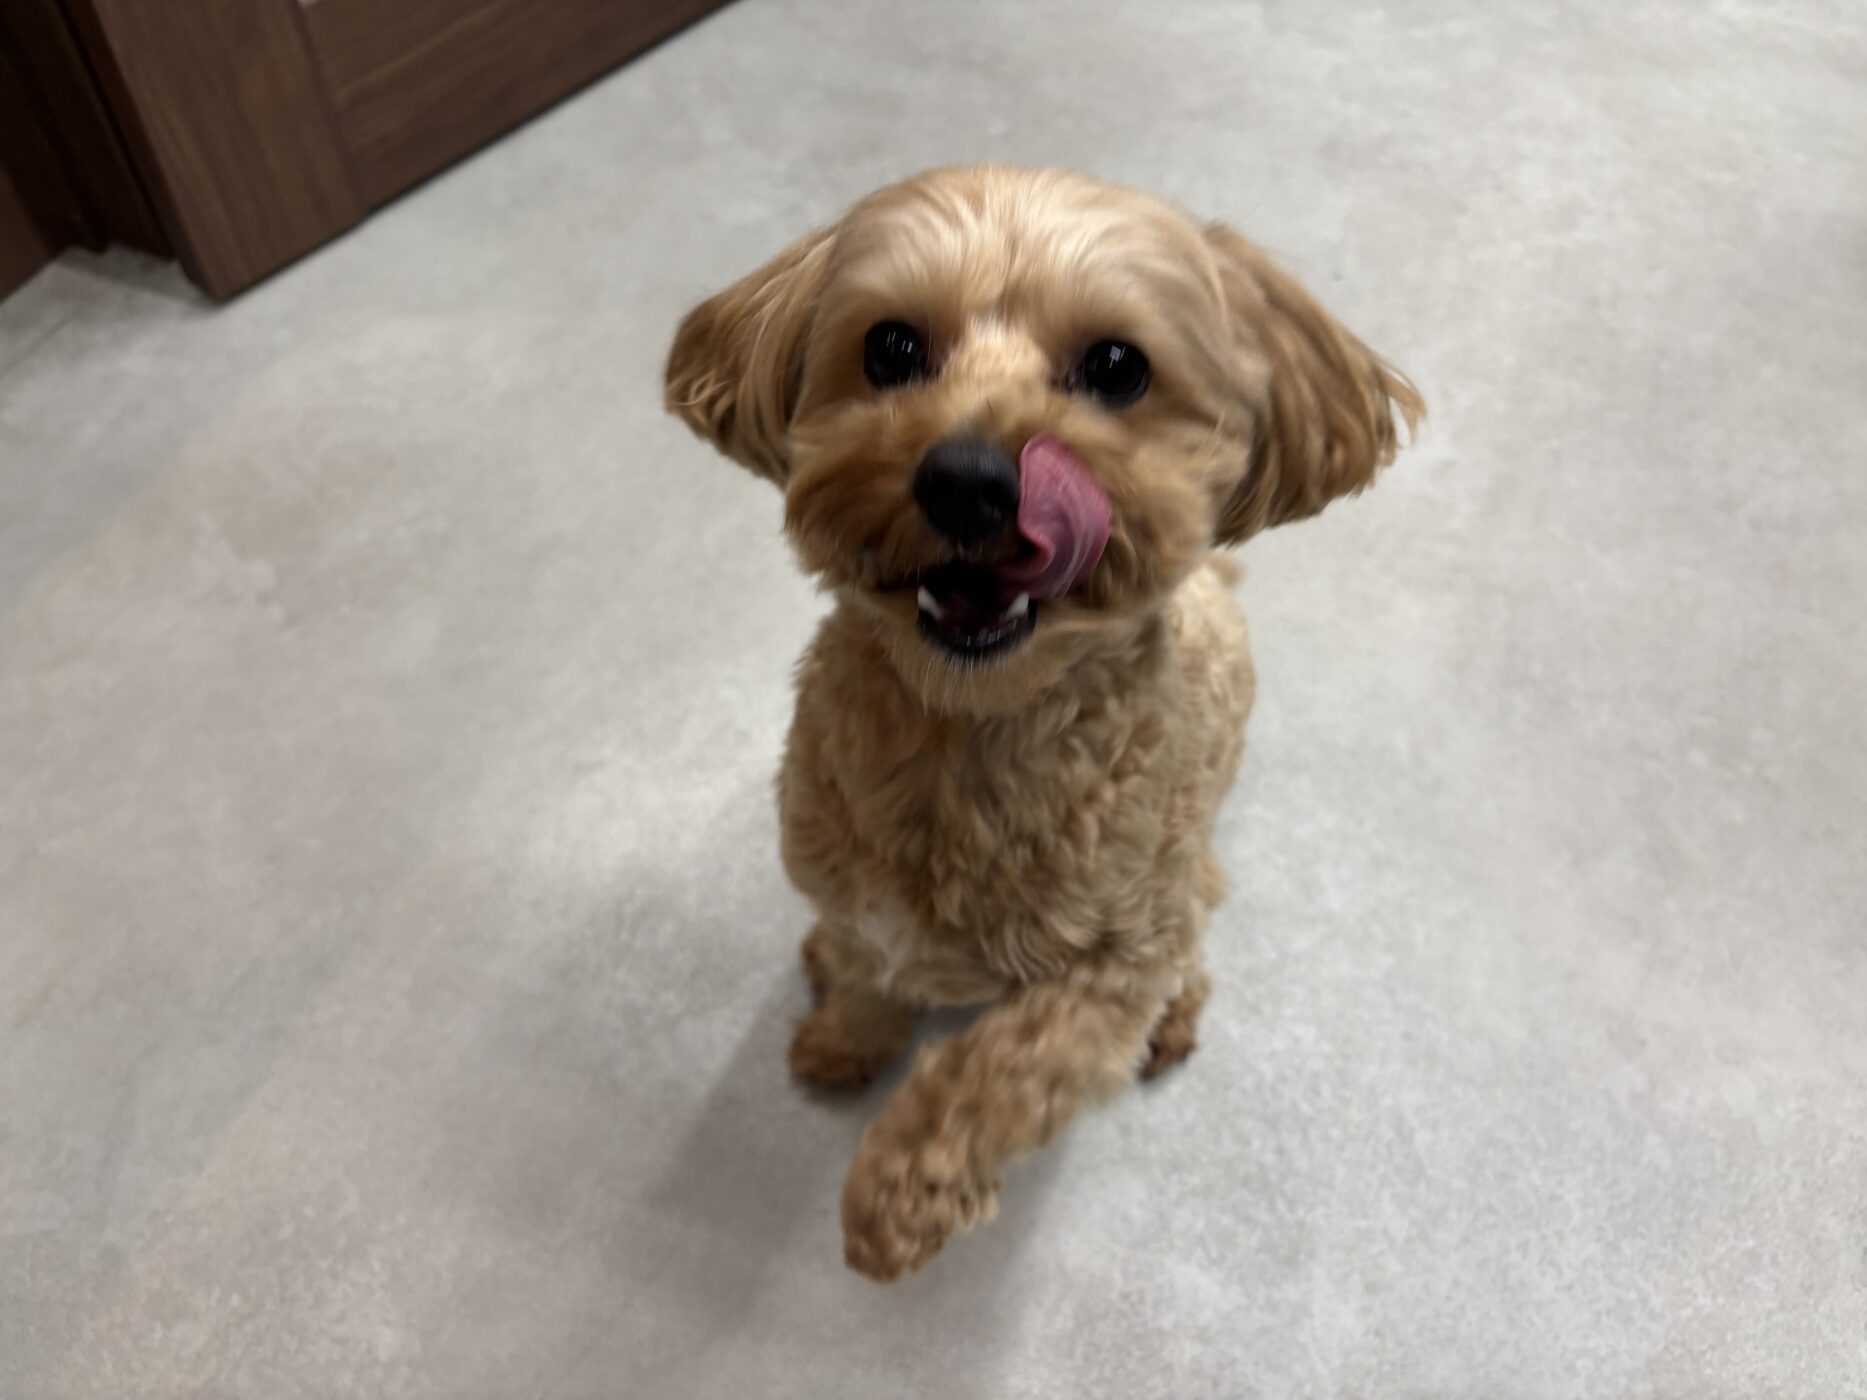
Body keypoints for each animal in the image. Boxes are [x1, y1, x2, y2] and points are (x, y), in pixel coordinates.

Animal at [664, 165, 1421, 1281]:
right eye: (891, 347)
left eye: (1116, 366)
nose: (967, 477)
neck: (965, 739)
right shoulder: (853, 894)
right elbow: (865, 973)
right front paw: (843, 1038)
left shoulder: (1116, 959)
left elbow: (1003, 1069)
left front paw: (898, 1196)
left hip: (1187, 881)